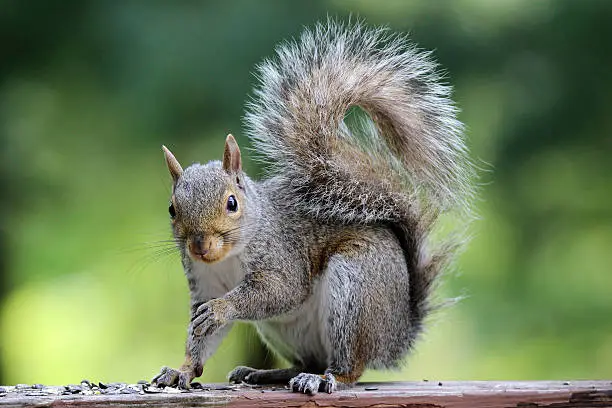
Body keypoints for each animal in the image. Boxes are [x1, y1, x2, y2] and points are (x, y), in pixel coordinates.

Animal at [151, 22, 470, 396]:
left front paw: (221, 309)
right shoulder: (203, 283)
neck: (228, 257)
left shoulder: (282, 256)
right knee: (310, 360)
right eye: (172, 209)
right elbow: (201, 338)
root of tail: (397, 335)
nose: (199, 246)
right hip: (284, 330)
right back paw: (269, 373)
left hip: (355, 289)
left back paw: (325, 378)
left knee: (349, 365)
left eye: (232, 203)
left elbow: (280, 291)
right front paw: (181, 371)